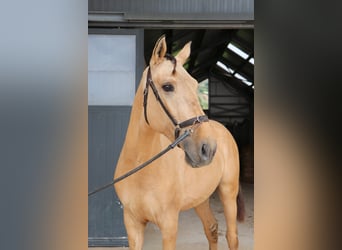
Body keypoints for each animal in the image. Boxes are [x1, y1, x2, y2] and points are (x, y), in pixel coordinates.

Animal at [115, 35, 246, 250]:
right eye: (168, 86)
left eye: (195, 85)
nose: (208, 148)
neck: (141, 166)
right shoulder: (132, 224)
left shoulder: (169, 225)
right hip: (201, 198)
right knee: (211, 229)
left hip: (228, 192)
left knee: (232, 236)